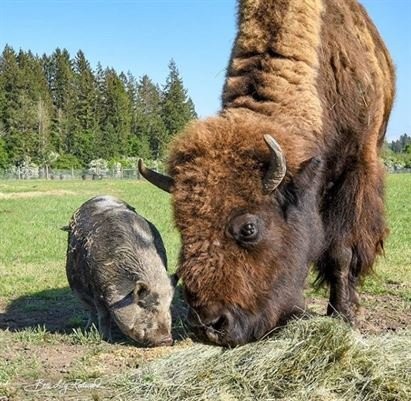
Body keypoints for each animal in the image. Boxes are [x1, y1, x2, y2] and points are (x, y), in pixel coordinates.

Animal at [139, 0, 396, 344]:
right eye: (182, 227)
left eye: (249, 228)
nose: (209, 326)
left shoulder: (355, 168)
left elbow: (341, 251)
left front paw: (343, 316)